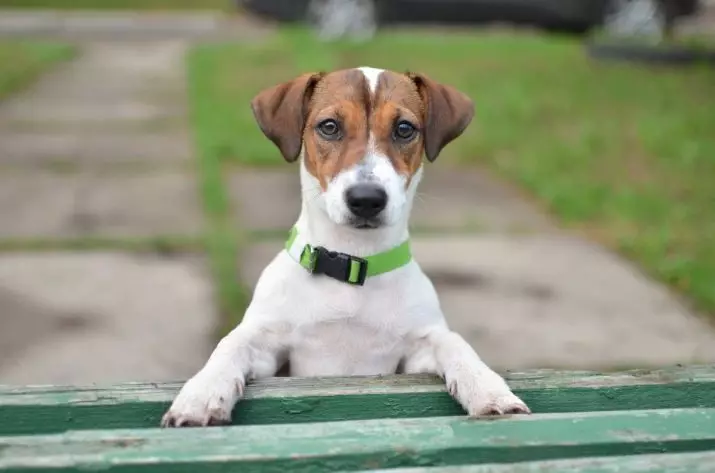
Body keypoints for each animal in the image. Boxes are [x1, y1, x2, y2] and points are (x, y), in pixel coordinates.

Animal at [162, 67, 532, 428]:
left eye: (404, 129)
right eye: (329, 126)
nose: (366, 199)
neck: (353, 262)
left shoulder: (417, 349)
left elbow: (455, 343)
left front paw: (487, 388)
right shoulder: (268, 346)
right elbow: (230, 344)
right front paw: (202, 393)